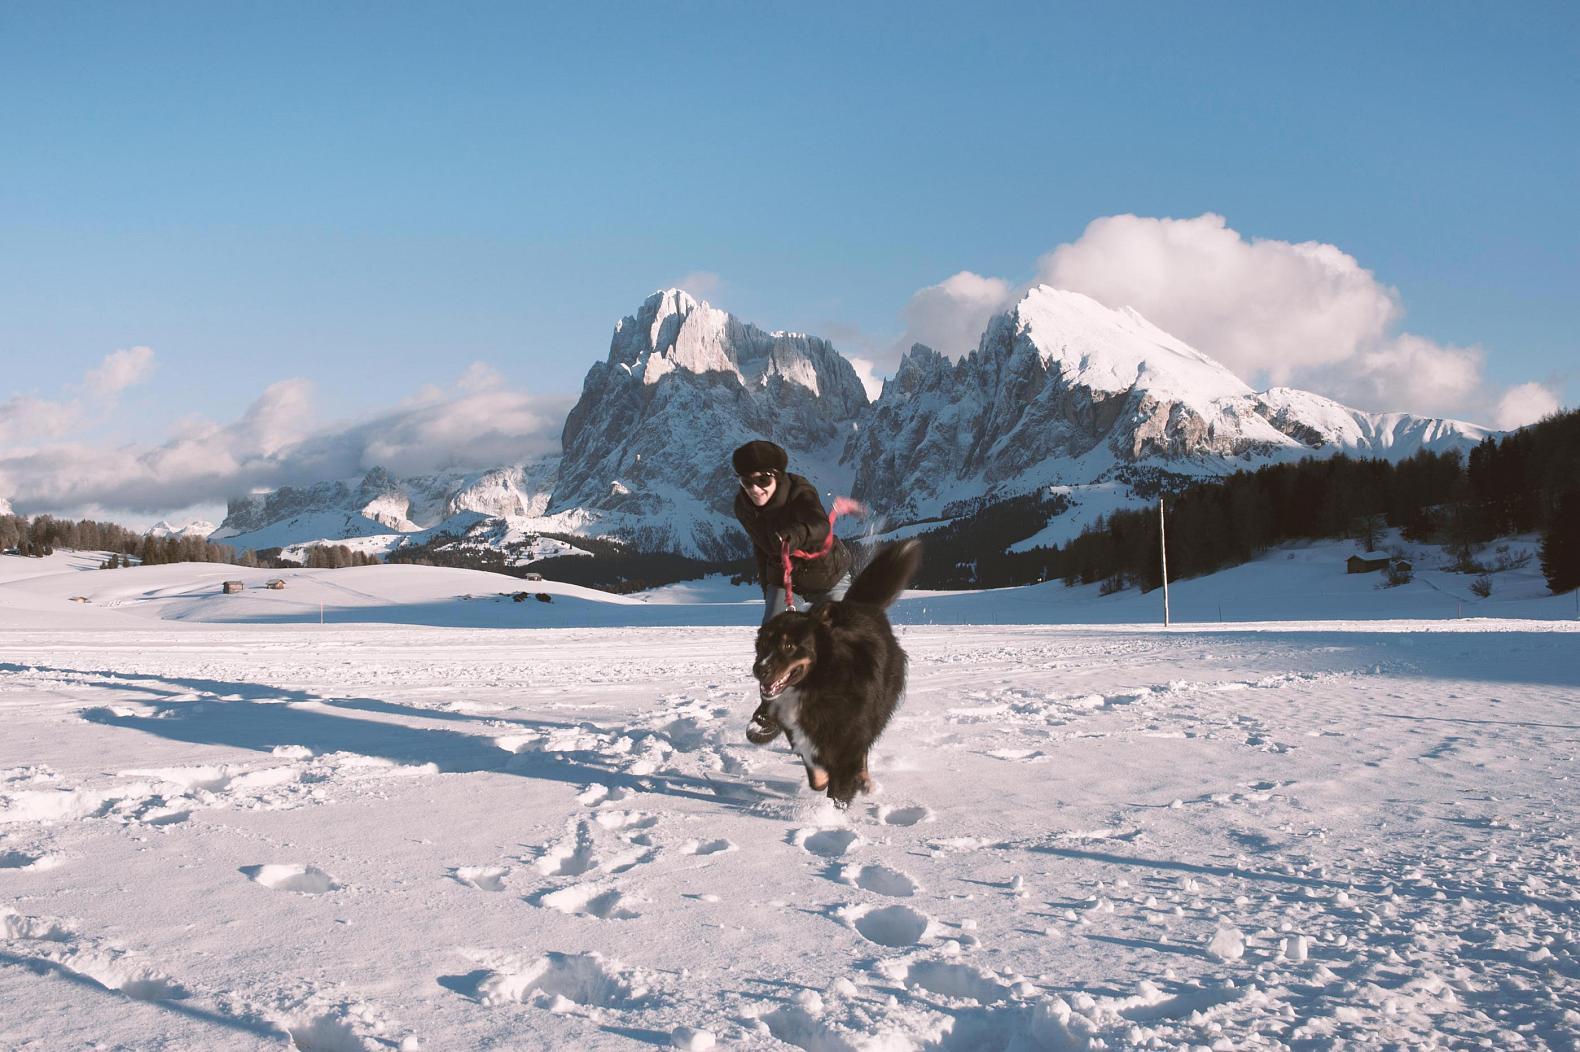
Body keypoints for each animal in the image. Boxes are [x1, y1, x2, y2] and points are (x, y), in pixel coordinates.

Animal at [752, 540, 922, 802]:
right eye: (761, 646)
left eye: (789, 646)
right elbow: (817, 777)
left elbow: (839, 788)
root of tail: (862, 607)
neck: (818, 681)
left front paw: (834, 810)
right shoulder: (803, 734)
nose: (759, 670)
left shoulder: (849, 738)